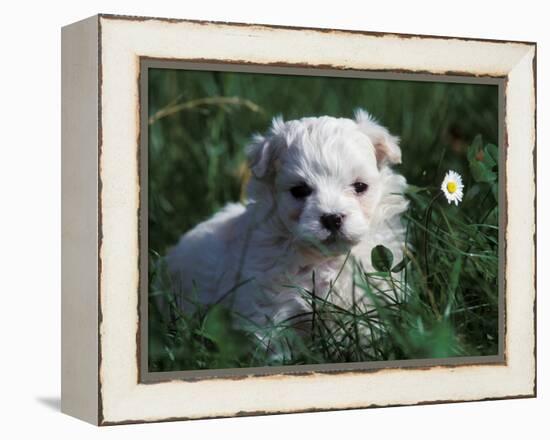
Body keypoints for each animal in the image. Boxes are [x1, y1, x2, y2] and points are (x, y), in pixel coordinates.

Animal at [167, 109, 410, 336]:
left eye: (360, 186)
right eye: (300, 190)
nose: (332, 218)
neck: (324, 259)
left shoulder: (368, 300)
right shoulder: (270, 306)